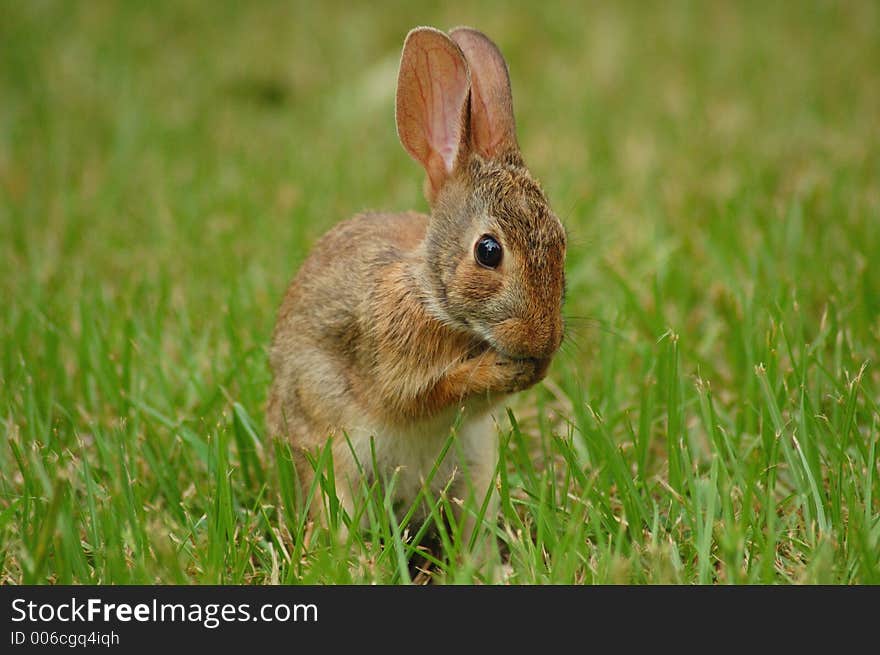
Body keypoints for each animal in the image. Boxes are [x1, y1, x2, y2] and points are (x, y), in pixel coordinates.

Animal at [268, 26, 568, 540]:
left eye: (561, 240)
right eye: (489, 251)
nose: (543, 340)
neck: (434, 299)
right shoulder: (391, 363)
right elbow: (428, 393)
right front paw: (502, 369)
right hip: (334, 460)